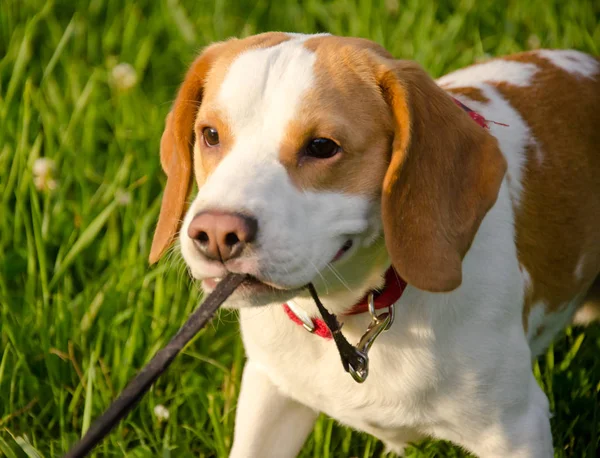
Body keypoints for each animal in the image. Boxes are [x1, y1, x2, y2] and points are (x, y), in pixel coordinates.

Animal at [149, 30, 600, 456]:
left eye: (322, 146)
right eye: (209, 135)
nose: (216, 234)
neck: (351, 312)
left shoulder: (517, 429)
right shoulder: (270, 395)